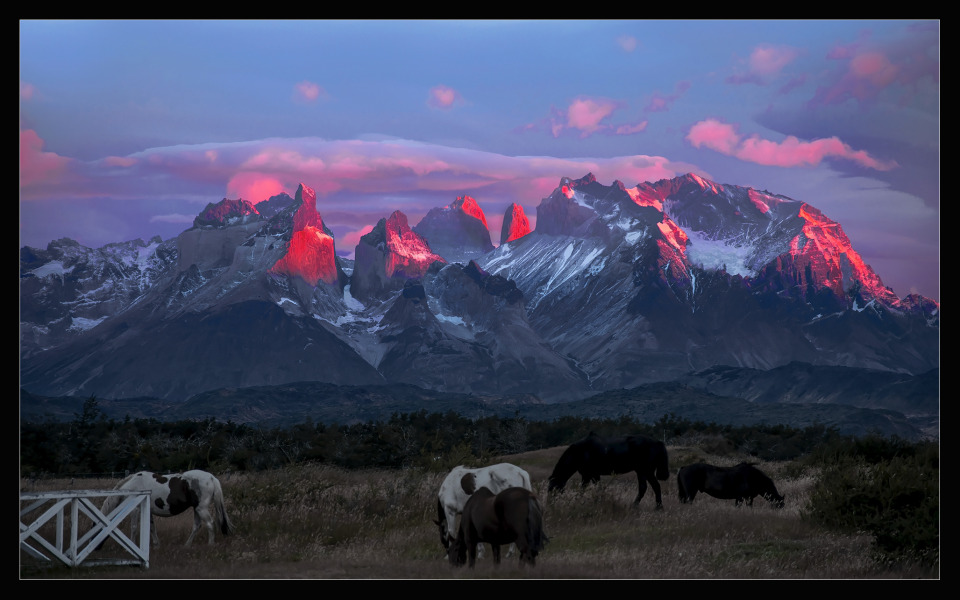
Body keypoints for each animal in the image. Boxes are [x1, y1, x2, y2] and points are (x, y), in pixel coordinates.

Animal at [98, 468, 234, 548]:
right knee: (196, 526)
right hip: (197, 509)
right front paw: (156, 545)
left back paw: (210, 545)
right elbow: (152, 527)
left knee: (210, 524)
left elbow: (134, 528)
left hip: (202, 509)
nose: (97, 548)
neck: (132, 485)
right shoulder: (148, 511)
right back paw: (187, 545)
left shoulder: (136, 509)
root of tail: (211, 477)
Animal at [544, 428, 672, 508]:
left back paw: (649, 507)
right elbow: (597, 489)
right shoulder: (593, 475)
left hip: (645, 471)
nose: (548, 504)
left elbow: (583, 490)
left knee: (650, 487)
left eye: (552, 488)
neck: (581, 452)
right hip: (643, 472)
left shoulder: (588, 475)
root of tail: (658, 442)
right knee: (648, 487)